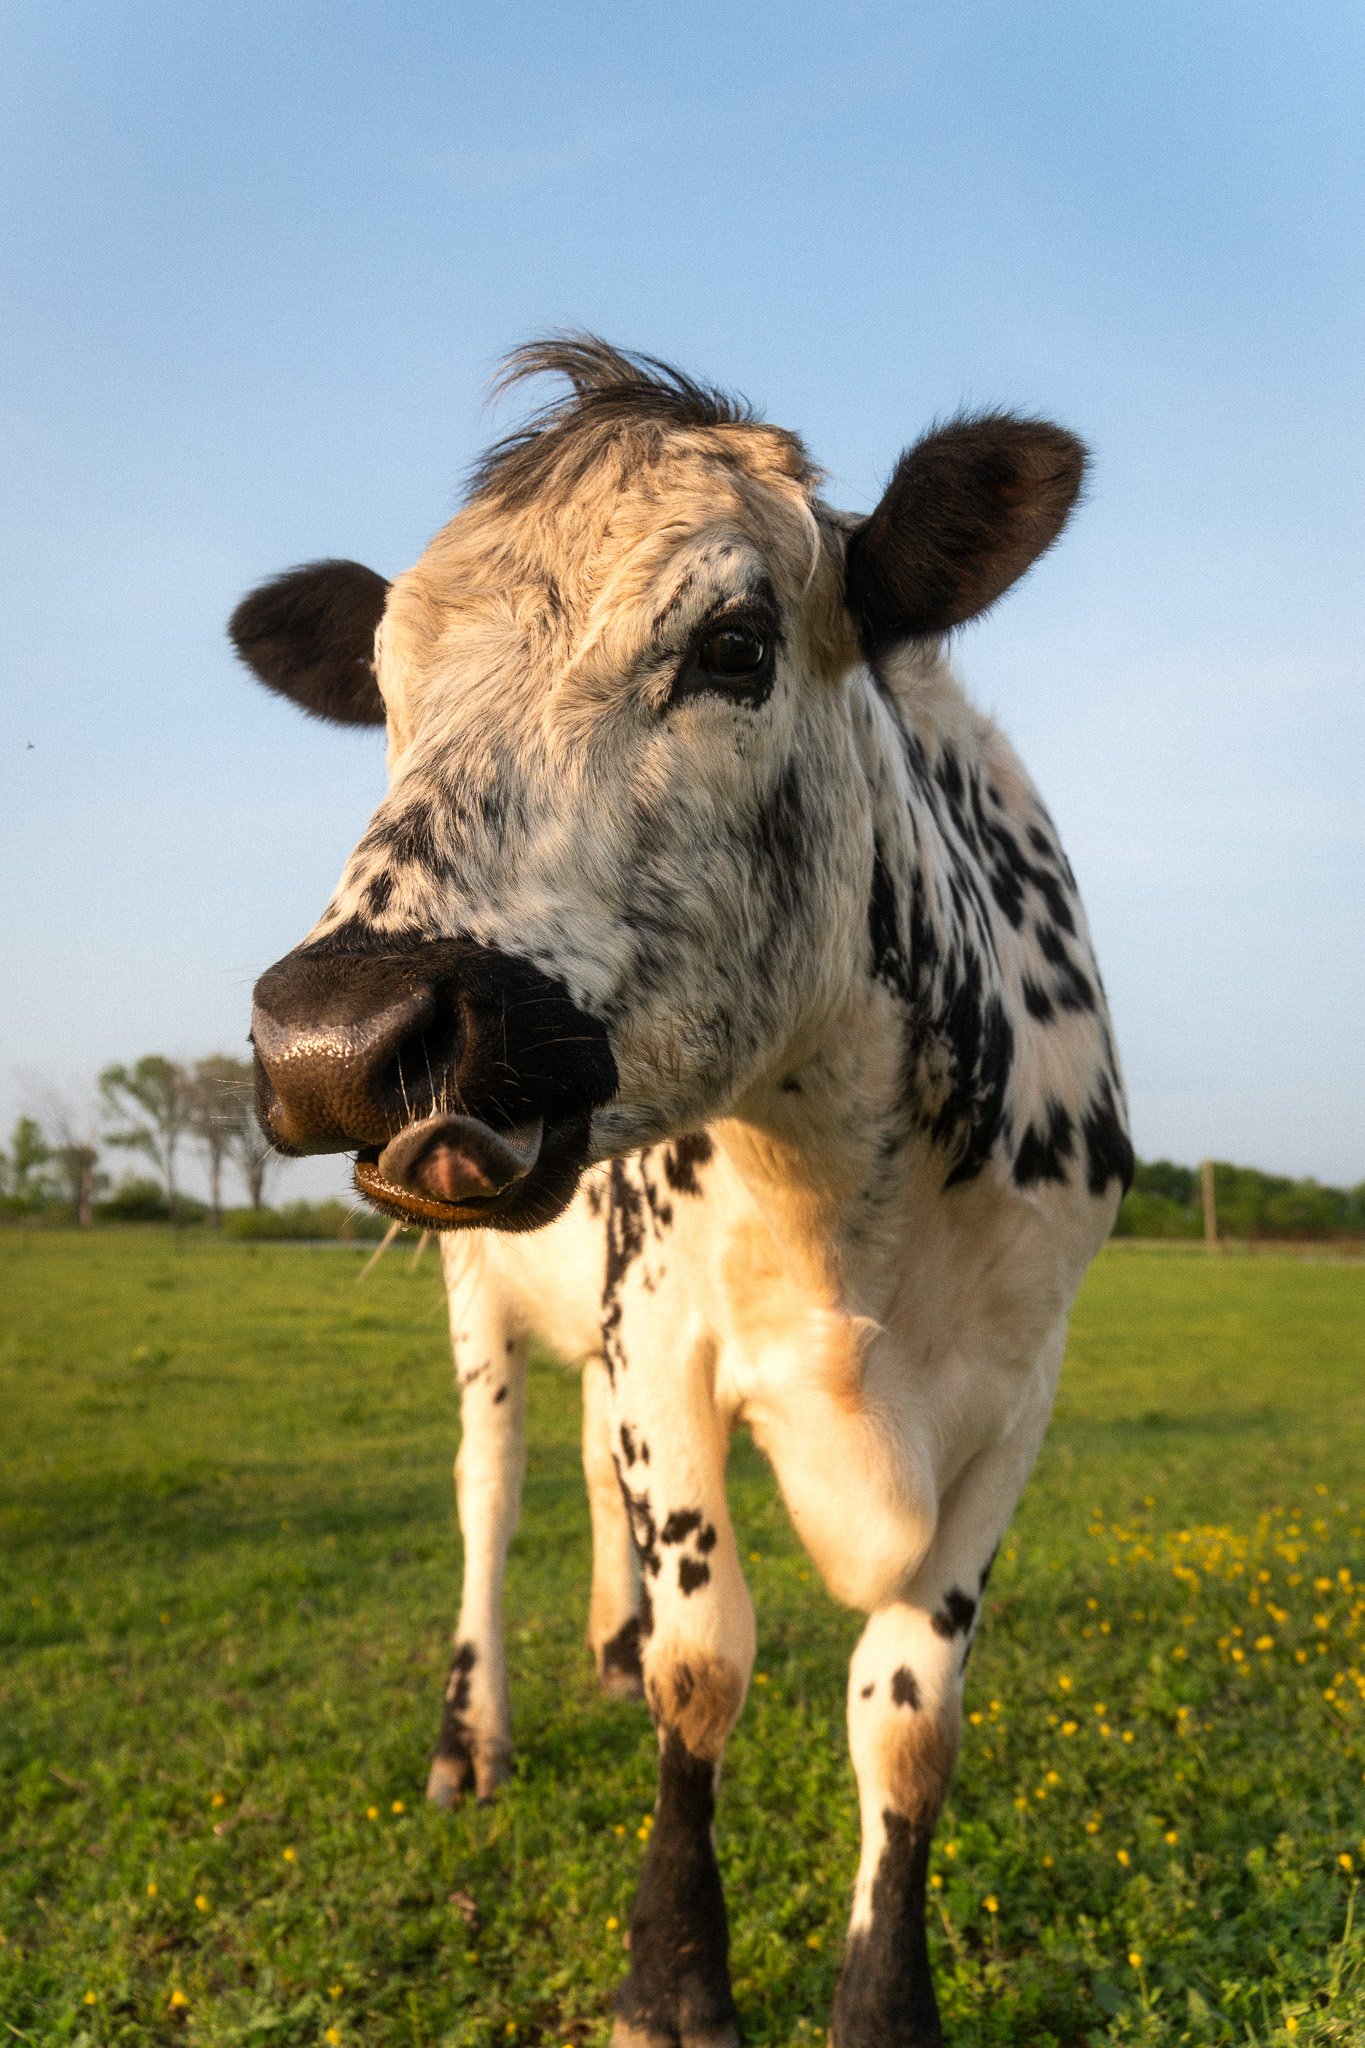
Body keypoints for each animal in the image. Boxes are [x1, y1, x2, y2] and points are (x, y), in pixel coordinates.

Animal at [232, 337, 1132, 2048]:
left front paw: (883, 2005)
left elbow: (909, 1719)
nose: (335, 1038)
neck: (846, 1190)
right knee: (496, 1487)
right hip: (486, 1303)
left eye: (732, 643)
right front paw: (670, 1981)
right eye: (387, 686)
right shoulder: (664, 1335)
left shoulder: (1026, 1387)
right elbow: (704, 1669)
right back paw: (476, 1733)